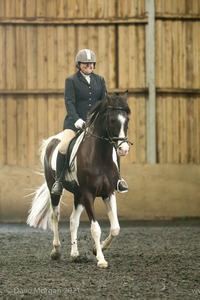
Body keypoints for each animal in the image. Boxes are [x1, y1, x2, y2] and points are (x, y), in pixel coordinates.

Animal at [27, 90, 132, 268]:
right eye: (112, 121)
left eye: (127, 120)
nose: (123, 149)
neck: (100, 157)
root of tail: (52, 140)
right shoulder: (88, 194)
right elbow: (95, 228)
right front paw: (101, 259)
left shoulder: (108, 193)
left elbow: (115, 228)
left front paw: (96, 250)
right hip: (56, 189)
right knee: (56, 215)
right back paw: (56, 251)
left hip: (78, 195)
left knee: (73, 221)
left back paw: (75, 254)